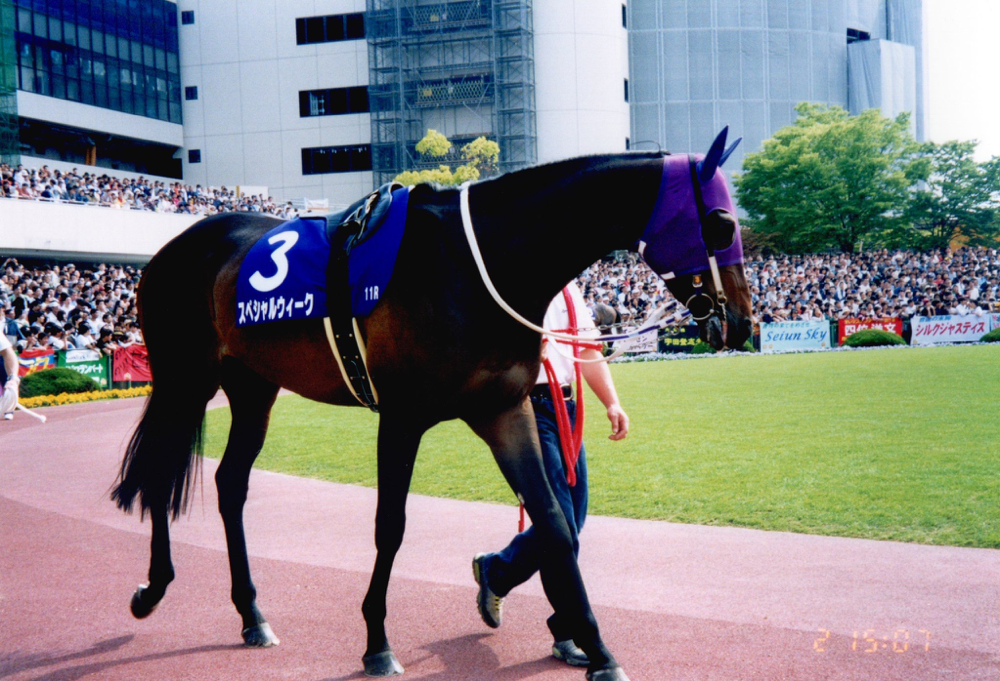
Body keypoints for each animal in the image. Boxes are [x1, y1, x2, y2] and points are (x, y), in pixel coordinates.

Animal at [111, 133, 752, 680]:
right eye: (722, 223)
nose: (742, 323)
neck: (478, 262)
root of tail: (171, 248)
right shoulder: (402, 417)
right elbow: (389, 527)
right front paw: (376, 643)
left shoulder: (505, 410)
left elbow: (554, 523)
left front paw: (597, 649)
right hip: (184, 381)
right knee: (161, 471)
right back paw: (152, 589)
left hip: (252, 388)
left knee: (230, 483)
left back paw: (252, 615)